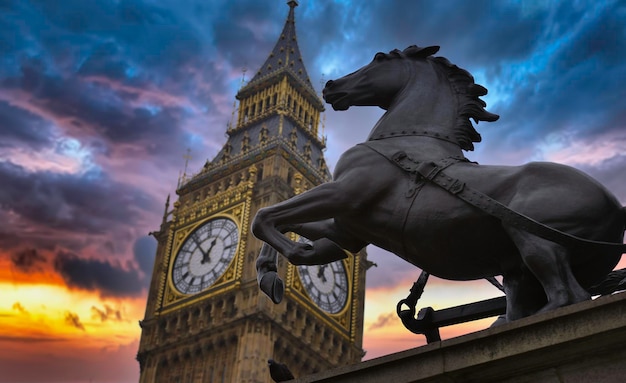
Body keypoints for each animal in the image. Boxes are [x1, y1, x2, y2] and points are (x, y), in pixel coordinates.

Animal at [250, 45, 624, 324]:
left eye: (379, 58)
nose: (331, 86)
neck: (405, 141)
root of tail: (617, 207)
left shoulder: (344, 192)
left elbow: (263, 217)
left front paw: (290, 257)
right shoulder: (349, 230)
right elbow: (284, 220)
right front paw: (275, 269)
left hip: (533, 236)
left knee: (568, 296)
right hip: (520, 267)